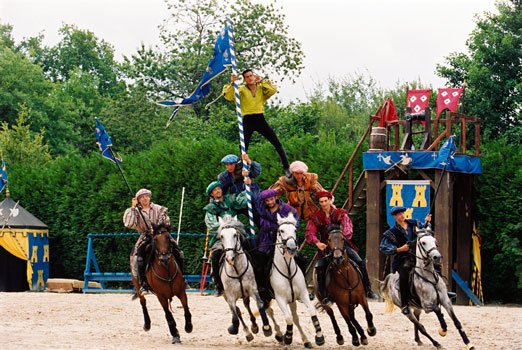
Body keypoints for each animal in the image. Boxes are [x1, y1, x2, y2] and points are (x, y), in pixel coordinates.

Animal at [216, 215, 272, 344]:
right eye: (222, 236)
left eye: (235, 235)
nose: (230, 258)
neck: (237, 270)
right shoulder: (230, 296)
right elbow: (235, 314)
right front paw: (234, 328)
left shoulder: (252, 289)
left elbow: (260, 304)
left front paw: (266, 328)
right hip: (227, 296)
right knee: (237, 311)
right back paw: (248, 333)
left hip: (245, 294)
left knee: (247, 305)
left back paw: (254, 326)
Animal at [262, 213, 322, 348]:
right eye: (281, 231)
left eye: (295, 230)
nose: (292, 248)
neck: (287, 269)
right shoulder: (280, 299)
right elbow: (288, 318)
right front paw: (288, 337)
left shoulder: (303, 294)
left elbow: (311, 311)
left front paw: (319, 336)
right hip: (264, 297)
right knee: (270, 311)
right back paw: (279, 335)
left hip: (292, 300)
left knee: (295, 318)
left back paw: (306, 340)